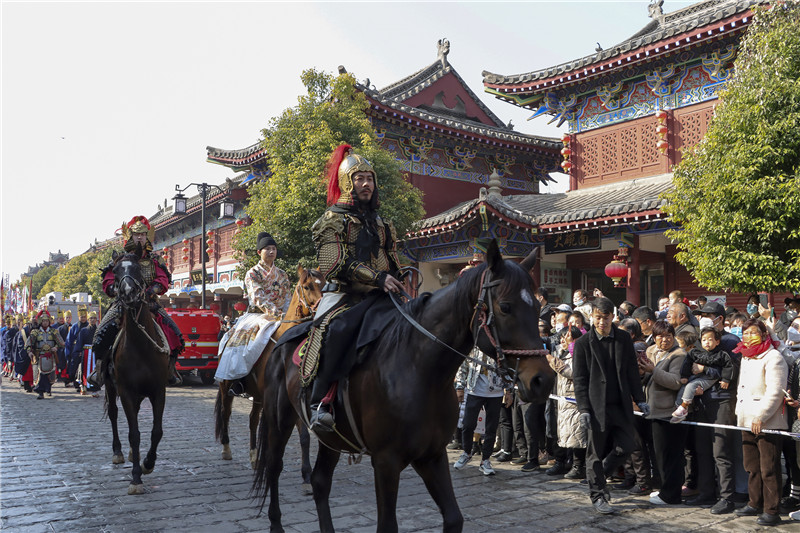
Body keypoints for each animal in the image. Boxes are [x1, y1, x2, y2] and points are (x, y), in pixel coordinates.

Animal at [104, 254, 170, 494]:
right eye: (115, 271)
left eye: (138, 270)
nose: (127, 292)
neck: (141, 347)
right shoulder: (125, 391)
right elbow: (134, 433)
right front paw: (135, 478)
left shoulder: (158, 391)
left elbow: (156, 431)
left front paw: (148, 463)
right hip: (110, 385)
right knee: (113, 414)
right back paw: (118, 452)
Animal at [216, 264, 324, 490]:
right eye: (307, 286)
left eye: (326, 283)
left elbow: (304, 437)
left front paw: (307, 476)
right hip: (226, 385)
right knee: (225, 413)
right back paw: (226, 449)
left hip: (257, 394)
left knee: (252, 420)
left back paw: (254, 456)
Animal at [253, 241, 552, 532]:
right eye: (505, 307)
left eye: (538, 309)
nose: (542, 380)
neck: (421, 370)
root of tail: (282, 336)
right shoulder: (387, 460)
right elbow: (388, 525)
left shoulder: (432, 455)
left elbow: (454, 518)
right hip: (279, 418)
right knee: (274, 465)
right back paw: (275, 523)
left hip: (333, 438)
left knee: (320, 481)